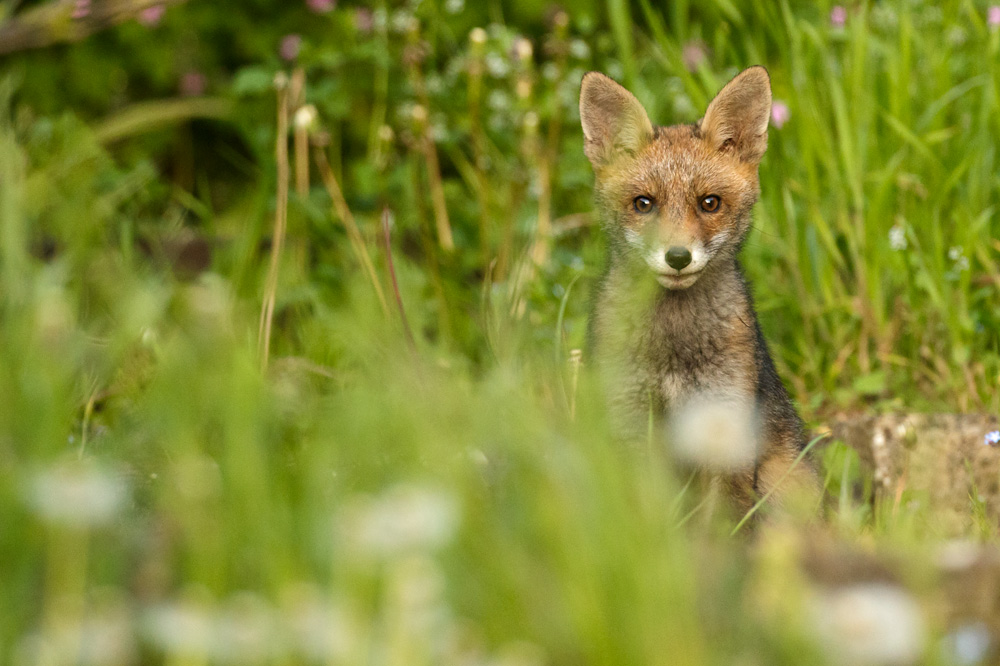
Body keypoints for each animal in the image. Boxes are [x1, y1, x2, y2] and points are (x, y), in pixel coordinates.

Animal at [580, 66, 818, 515]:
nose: (677, 257)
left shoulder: (725, 424)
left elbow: (723, 522)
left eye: (710, 203)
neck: (674, 351)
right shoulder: (630, 424)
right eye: (643, 204)